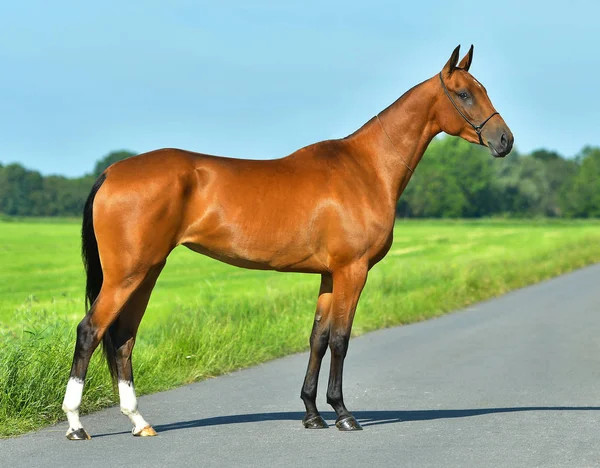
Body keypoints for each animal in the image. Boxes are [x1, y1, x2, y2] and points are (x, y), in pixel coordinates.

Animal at [59, 44, 510, 438]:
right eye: (464, 93)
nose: (505, 140)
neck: (366, 168)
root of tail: (113, 172)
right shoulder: (352, 271)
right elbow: (341, 340)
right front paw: (343, 414)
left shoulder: (329, 275)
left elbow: (318, 339)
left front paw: (312, 413)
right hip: (127, 275)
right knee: (90, 331)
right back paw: (77, 425)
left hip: (146, 272)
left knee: (123, 339)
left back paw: (139, 422)